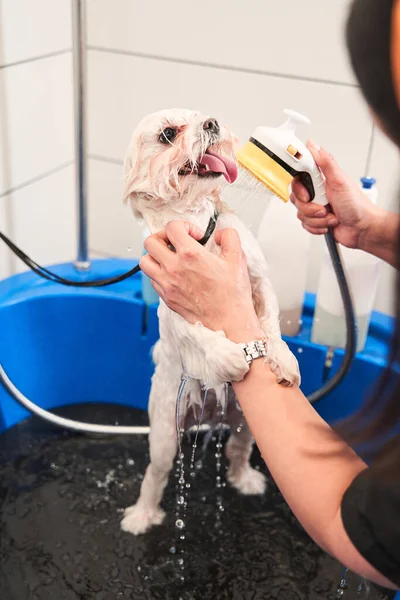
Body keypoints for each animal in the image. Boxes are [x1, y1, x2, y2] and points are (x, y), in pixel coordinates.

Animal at [120, 108, 298, 536]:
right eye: (168, 134)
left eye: (202, 117)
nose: (212, 124)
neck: (198, 226)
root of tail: (215, 413)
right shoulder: (173, 300)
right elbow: (196, 331)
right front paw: (228, 357)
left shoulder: (257, 278)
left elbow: (269, 324)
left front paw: (282, 359)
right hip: (166, 429)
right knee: (156, 472)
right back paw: (142, 515)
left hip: (246, 425)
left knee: (236, 450)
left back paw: (244, 479)